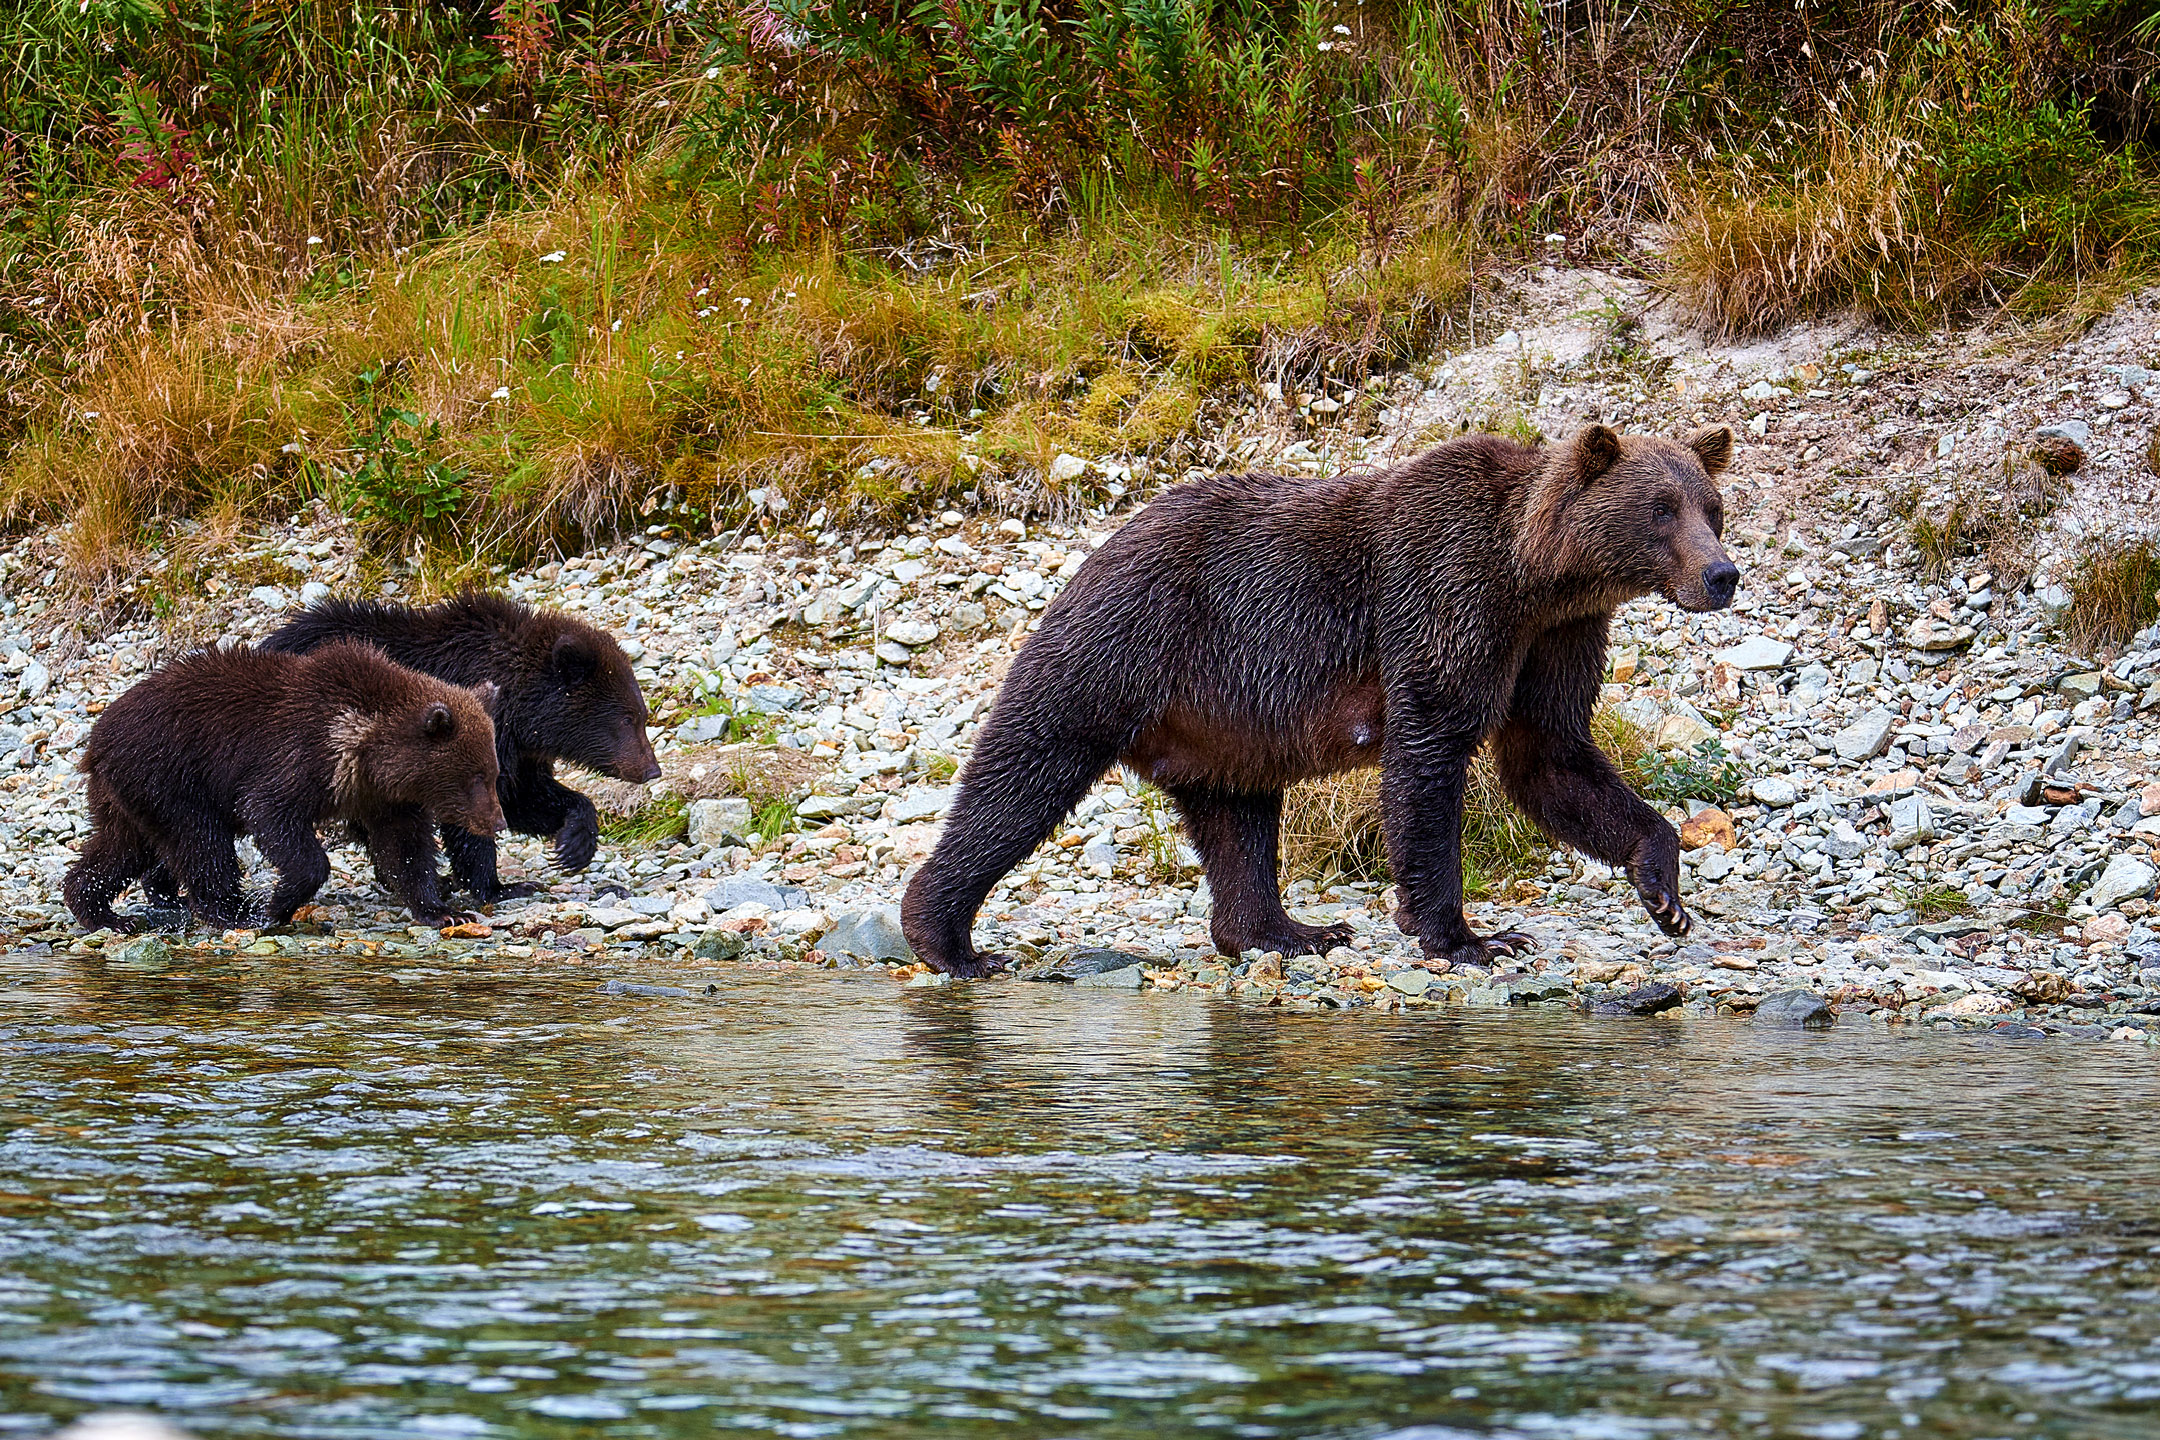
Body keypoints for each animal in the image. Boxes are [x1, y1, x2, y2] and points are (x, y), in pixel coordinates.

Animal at [902, 423, 1745, 975]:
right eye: (1661, 509)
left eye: (1711, 506)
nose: (1722, 574)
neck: (1535, 573)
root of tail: (1091, 551)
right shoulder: (1447, 593)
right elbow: (1431, 752)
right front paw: (1468, 937)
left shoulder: (1557, 635)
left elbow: (1553, 755)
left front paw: (1663, 889)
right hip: (1124, 644)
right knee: (1027, 772)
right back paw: (948, 939)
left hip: (1222, 717)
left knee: (1237, 818)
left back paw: (1284, 932)